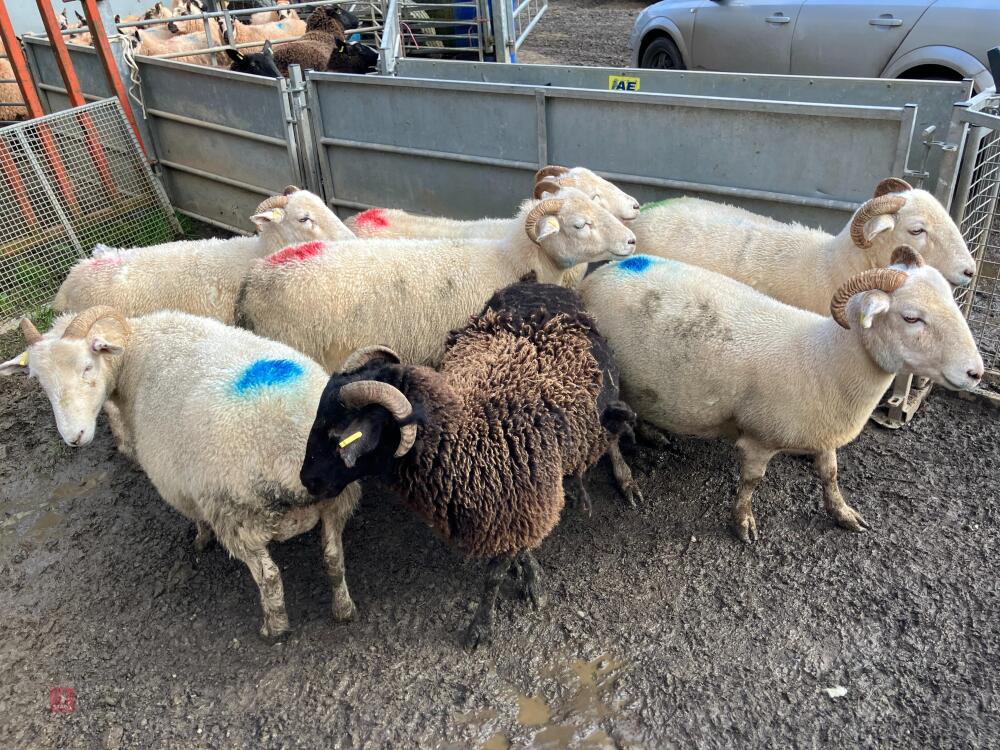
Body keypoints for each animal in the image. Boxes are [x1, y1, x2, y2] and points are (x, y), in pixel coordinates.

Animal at [1, 307, 361, 638]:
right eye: (40, 382)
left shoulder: (176, 484)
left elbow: (196, 517)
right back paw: (343, 609)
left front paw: (201, 540)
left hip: (236, 515)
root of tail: (292, 450)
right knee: (333, 556)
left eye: (87, 366)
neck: (136, 352)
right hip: (337, 500)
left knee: (269, 576)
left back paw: (275, 629)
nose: (74, 437)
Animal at [298, 276, 640, 648]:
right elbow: (518, 552)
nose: (307, 480)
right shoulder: (514, 510)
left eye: (337, 432)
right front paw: (529, 573)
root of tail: (541, 284)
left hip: (599, 413)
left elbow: (493, 578)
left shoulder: (520, 507)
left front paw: (482, 627)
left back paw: (605, 487)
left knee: (605, 439)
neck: (469, 439)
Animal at [579, 247, 984, 544]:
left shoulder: (824, 430)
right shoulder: (759, 439)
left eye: (951, 301)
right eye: (911, 317)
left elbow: (830, 475)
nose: (976, 372)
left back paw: (651, 432)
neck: (827, 360)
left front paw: (843, 513)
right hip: (606, 383)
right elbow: (751, 482)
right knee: (609, 438)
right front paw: (743, 522)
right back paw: (627, 480)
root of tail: (598, 275)